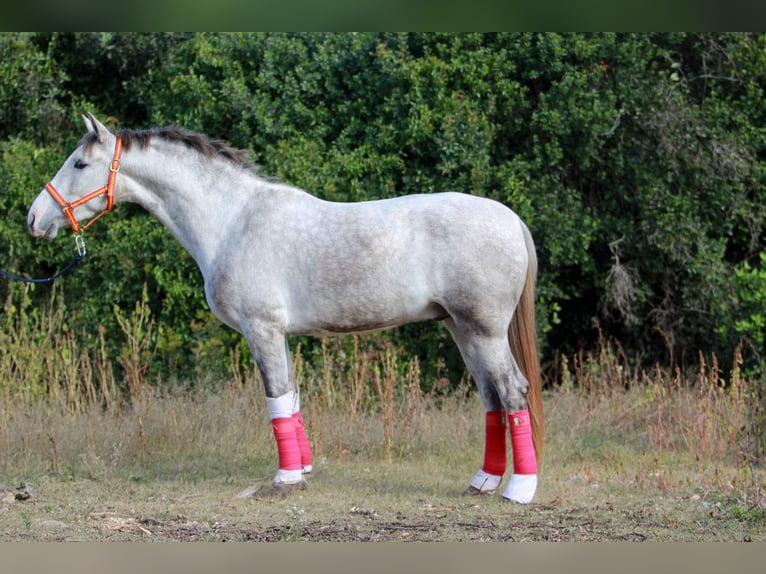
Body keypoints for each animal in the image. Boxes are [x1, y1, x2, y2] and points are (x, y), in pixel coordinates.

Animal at [27, 114, 544, 503]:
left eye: (80, 162)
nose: (34, 218)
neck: (232, 220)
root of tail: (510, 217)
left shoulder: (263, 329)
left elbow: (276, 400)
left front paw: (284, 480)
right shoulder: (279, 334)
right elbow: (291, 400)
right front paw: (303, 472)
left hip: (483, 330)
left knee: (513, 393)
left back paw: (518, 489)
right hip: (461, 329)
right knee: (492, 398)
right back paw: (483, 481)